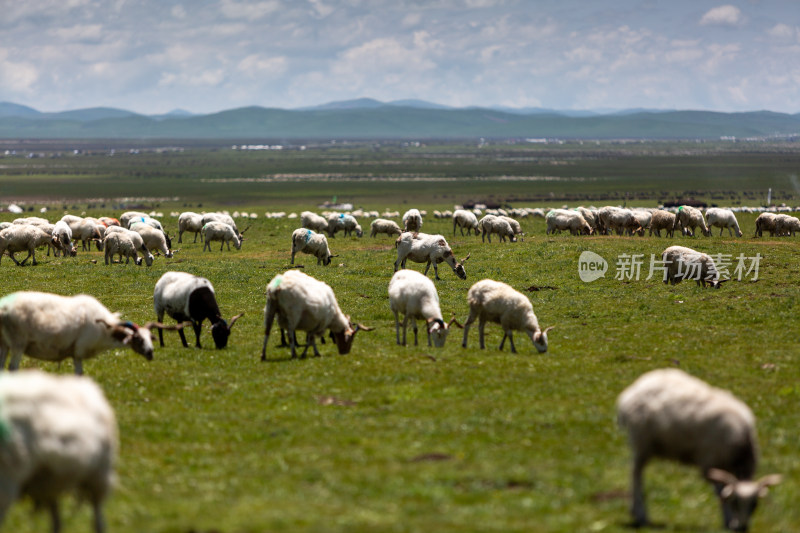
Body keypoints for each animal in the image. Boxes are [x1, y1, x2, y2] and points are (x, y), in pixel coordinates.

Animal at [0, 290, 175, 374]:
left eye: (150, 338)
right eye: (138, 339)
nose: (150, 353)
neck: (105, 331)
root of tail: (4, 308)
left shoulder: (75, 353)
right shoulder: (79, 351)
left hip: (4, 344)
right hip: (18, 343)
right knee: (12, 368)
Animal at [620, 368, 780, 528]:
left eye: (754, 505)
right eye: (735, 502)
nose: (742, 527)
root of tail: (631, 392)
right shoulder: (710, 462)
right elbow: (720, 493)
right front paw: (728, 520)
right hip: (642, 441)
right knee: (636, 473)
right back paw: (640, 514)